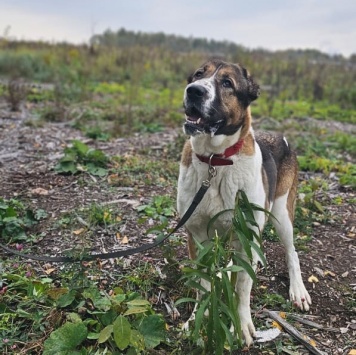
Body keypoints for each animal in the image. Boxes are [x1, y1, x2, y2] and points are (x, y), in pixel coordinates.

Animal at [177, 60, 310, 348]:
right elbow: (202, 283)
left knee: (291, 252)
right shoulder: (197, 235)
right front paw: (196, 321)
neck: (216, 161)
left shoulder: (245, 232)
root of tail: (280, 136)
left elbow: (241, 287)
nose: (193, 91)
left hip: (281, 215)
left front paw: (242, 326)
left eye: (227, 83)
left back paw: (298, 290)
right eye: (198, 75)